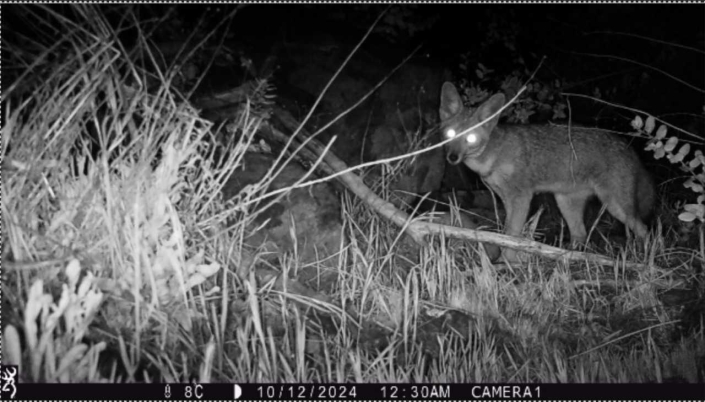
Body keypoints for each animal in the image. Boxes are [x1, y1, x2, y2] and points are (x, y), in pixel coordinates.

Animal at [439, 82, 655, 262]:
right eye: (450, 134)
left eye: (471, 138)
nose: (452, 157)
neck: (495, 155)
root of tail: (627, 147)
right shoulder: (506, 199)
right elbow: (509, 233)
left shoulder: (521, 198)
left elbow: (511, 234)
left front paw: (506, 262)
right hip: (566, 204)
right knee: (581, 235)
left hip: (616, 206)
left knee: (644, 230)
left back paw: (647, 260)